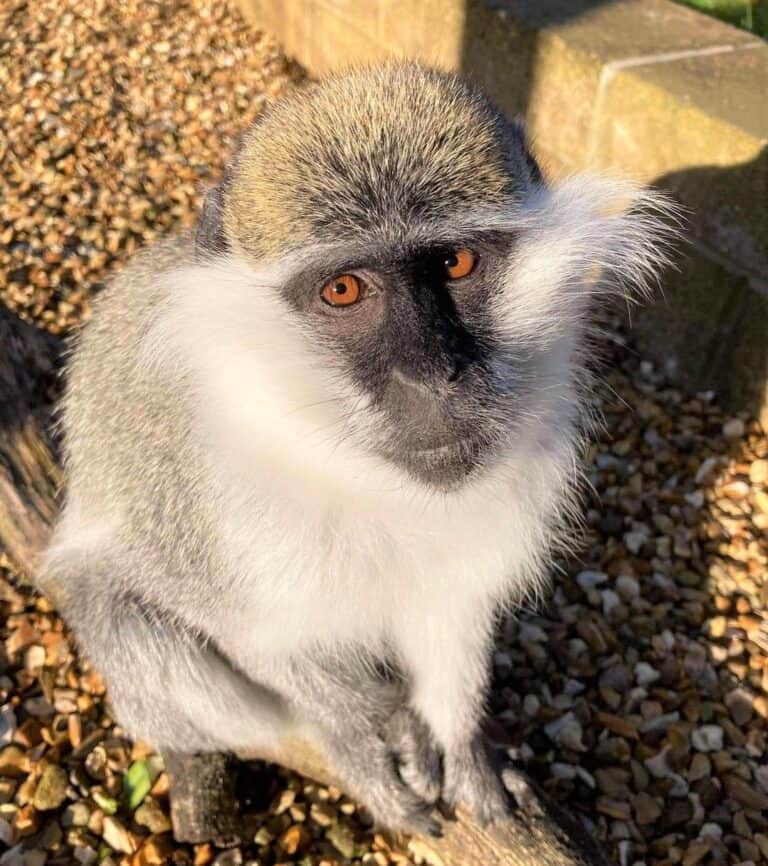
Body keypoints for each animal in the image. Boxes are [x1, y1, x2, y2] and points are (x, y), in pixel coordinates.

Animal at [43, 63, 674, 836]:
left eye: (454, 261)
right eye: (344, 289)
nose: (433, 374)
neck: (347, 466)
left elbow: (452, 603)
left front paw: (463, 744)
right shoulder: (197, 506)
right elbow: (238, 628)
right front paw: (373, 730)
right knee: (134, 628)